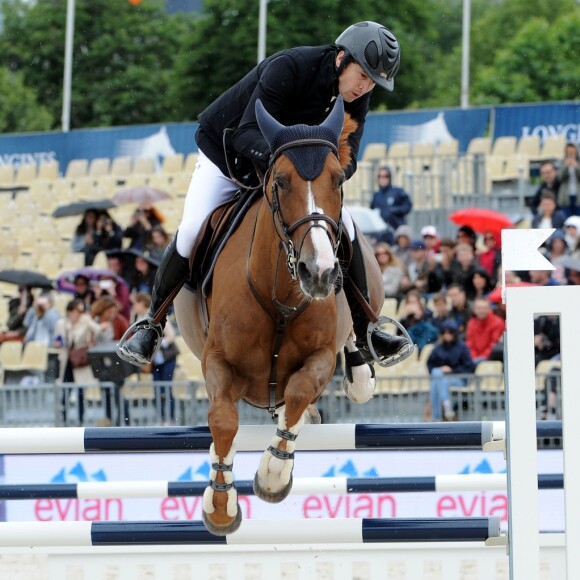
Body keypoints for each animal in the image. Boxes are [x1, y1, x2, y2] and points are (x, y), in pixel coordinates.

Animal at [173, 97, 394, 536]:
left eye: (338, 181)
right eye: (279, 182)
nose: (320, 273)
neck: (282, 294)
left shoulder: (319, 358)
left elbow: (299, 391)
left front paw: (273, 475)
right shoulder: (218, 361)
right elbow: (223, 420)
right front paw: (220, 505)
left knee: (352, 356)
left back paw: (361, 370)